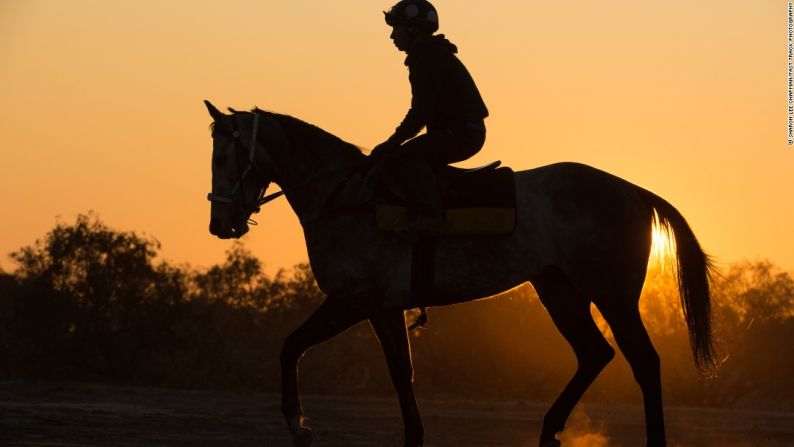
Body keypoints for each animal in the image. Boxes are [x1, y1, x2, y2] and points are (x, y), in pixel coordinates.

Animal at [203, 101, 712, 447]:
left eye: (224, 158)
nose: (220, 224)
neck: (345, 199)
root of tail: (633, 190)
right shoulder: (383, 309)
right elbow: (401, 372)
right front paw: (413, 437)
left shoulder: (351, 301)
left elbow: (291, 347)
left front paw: (298, 423)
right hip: (558, 290)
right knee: (594, 354)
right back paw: (549, 430)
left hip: (613, 295)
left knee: (643, 361)